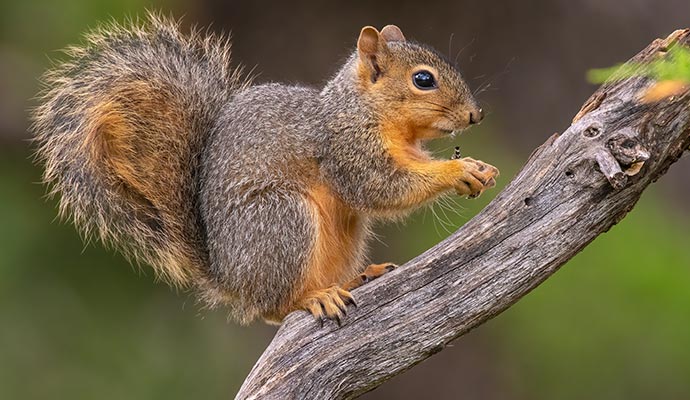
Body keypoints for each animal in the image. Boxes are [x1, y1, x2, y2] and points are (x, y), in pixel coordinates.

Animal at [32, 13, 499, 325]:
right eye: (423, 80)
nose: (476, 115)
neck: (364, 109)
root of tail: (230, 278)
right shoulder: (345, 148)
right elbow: (381, 187)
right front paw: (456, 172)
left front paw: (476, 166)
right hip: (281, 219)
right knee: (274, 309)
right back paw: (312, 299)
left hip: (344, 233)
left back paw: (356, 278)